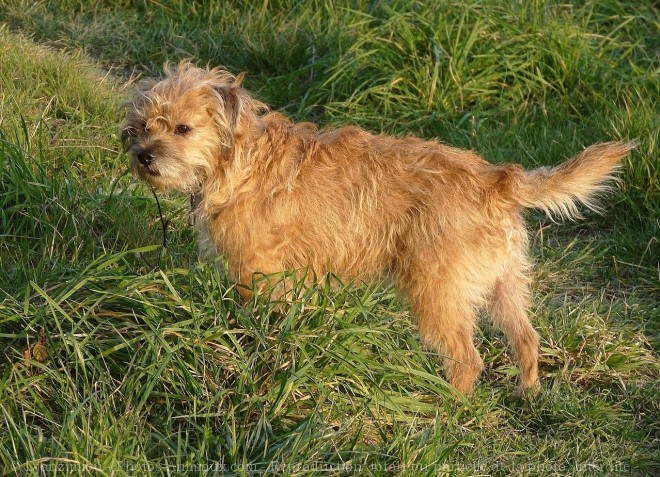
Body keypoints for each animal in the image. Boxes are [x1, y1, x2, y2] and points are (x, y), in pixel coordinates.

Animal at [120, 60, 636, 394]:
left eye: (182, 129)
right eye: (142, 125)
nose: (144, 156)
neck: (237, 160)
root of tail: (497, 180)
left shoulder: (257, 271)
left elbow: (258, 320)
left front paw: (256, 350)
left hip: (435, 289)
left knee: (468, 357)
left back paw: (449, 407)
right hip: (503, 283)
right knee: (526, 338)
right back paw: (528, 394)